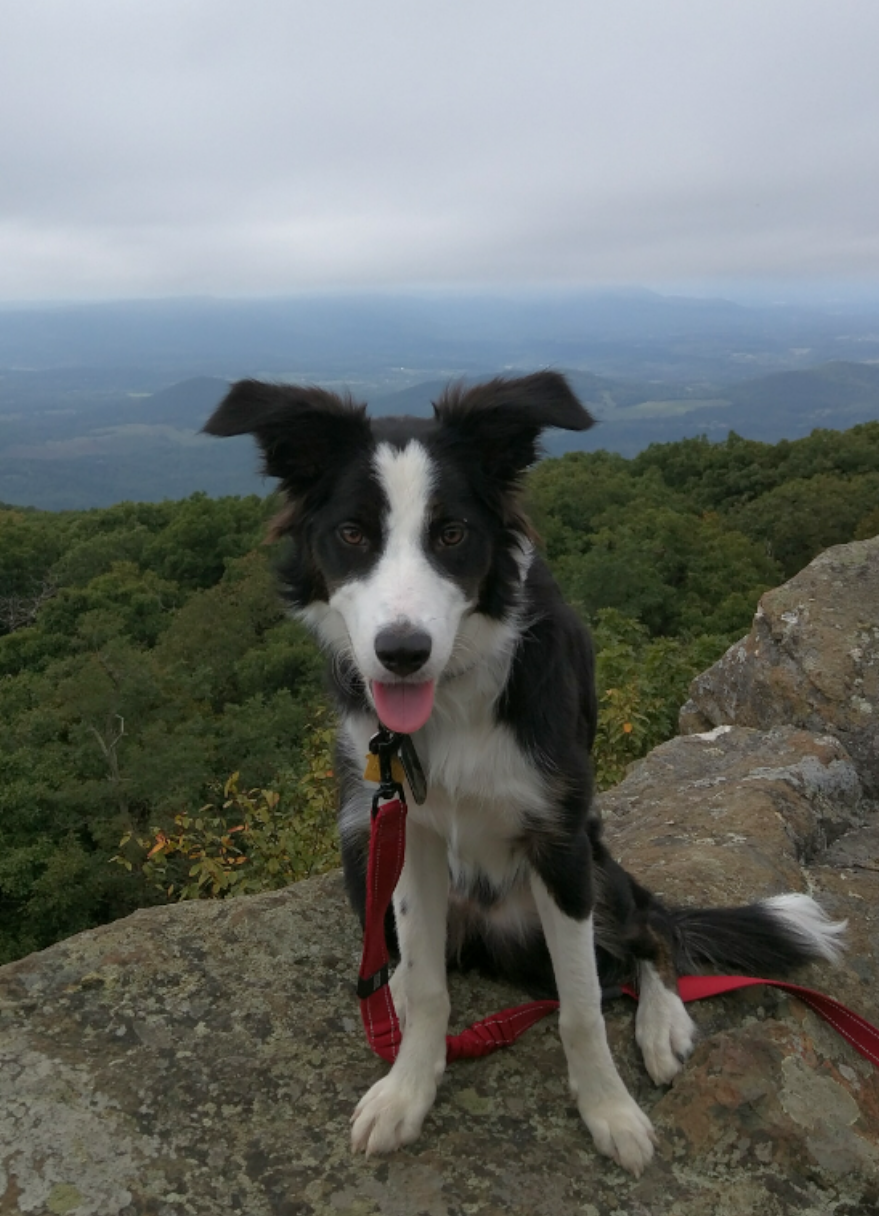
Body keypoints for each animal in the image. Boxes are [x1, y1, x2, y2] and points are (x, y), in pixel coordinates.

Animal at [206, 372, 846, 1177]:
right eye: (352, 535)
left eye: (451, 535)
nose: (402, 652)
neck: (452, 697)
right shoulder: (406, 831)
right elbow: (429, 984)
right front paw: (408, 1088)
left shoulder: (558, 840)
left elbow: (581, 1007)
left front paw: (608, 1111)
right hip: (361, 843)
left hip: (595, 873)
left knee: (651, 934)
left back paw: (661, 1023)